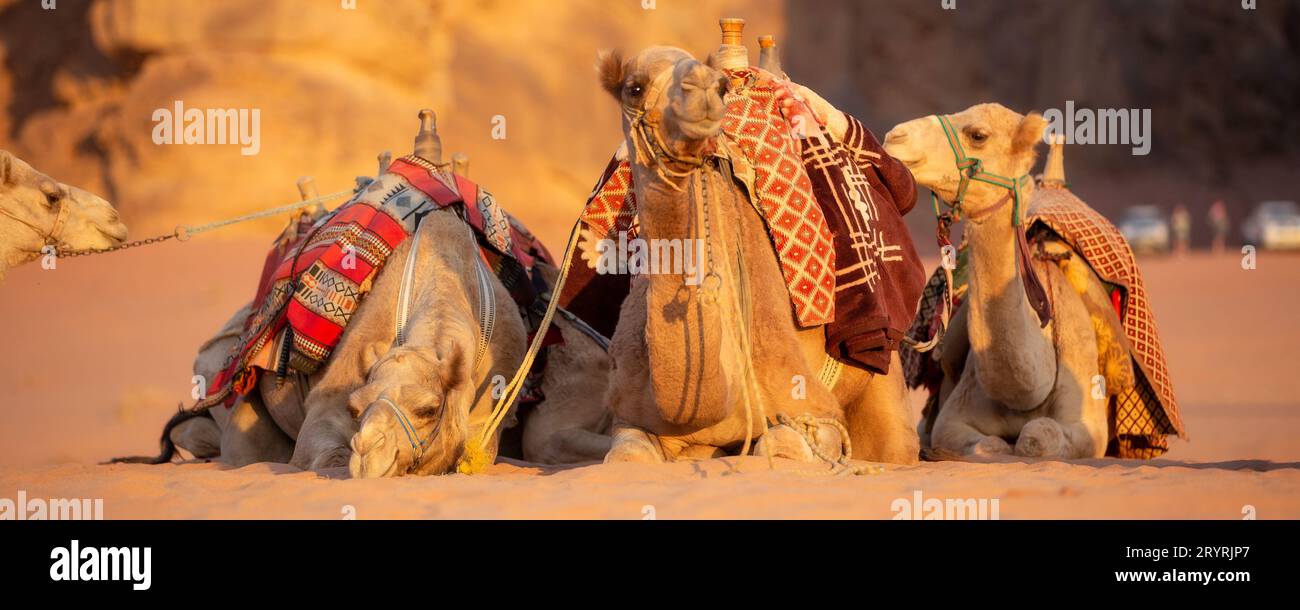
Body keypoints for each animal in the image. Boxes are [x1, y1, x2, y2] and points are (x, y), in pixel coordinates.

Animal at [595, 47, 920, 463]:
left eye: (719, 86)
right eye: (634, 88)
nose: (701, 91)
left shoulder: (815, 409)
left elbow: (780, 445)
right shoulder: (630, 415)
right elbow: (626, 455)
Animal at [883, 103, 1128, 457]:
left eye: (978, 135)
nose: (894, 137)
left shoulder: (1089, 425)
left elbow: (1036, 437)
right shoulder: (951, 419)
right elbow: (989, 444)